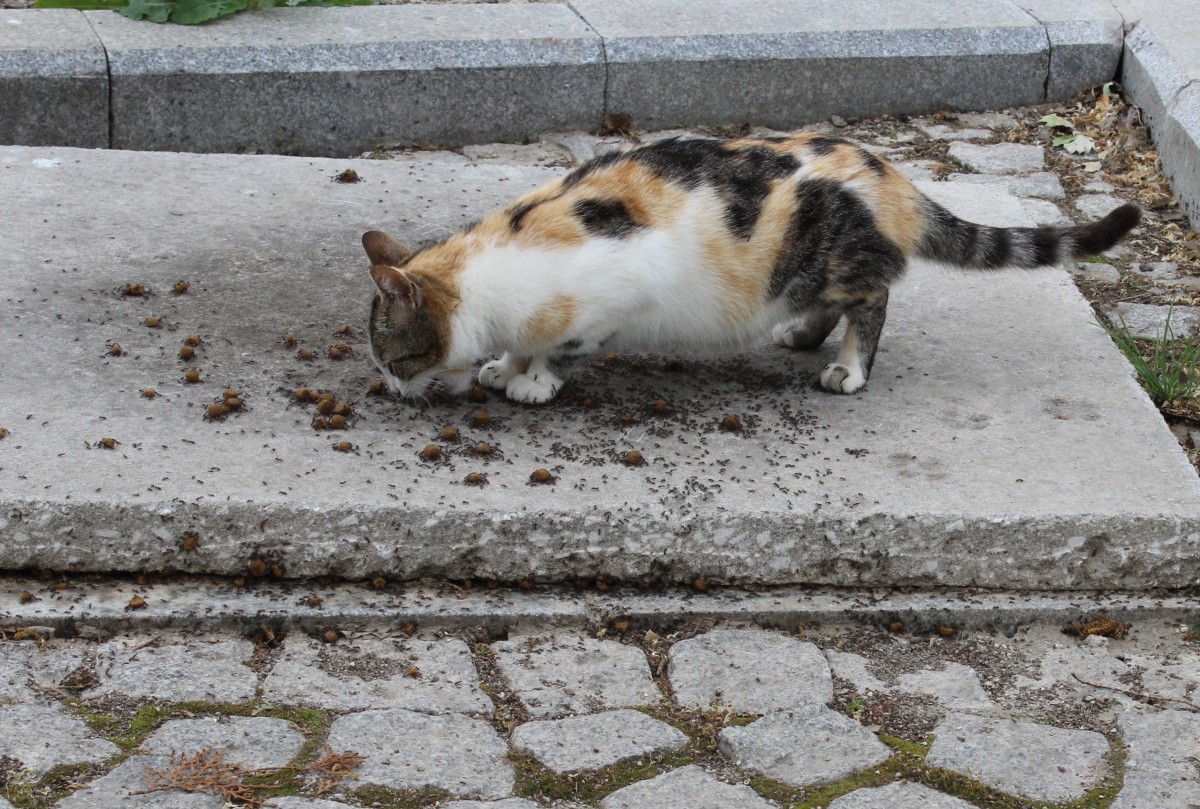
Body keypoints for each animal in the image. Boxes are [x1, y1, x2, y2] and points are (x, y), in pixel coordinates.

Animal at [360, 131, 1137, 403]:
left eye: (390, 356)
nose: (386, 388)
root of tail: (888, 175)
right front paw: (502, 367)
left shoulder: (616, 292)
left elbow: (562, 347)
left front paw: (531, 381)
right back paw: (799, 334)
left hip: (839, 260)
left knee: (874, 299)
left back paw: (846, 369)